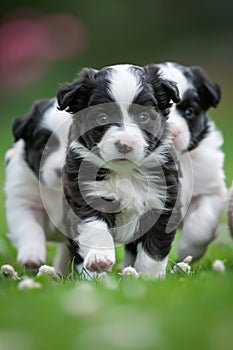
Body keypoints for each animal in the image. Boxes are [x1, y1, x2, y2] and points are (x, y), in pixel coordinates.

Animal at [57, 63, 181, 278]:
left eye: (143, 116)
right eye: (102, 117)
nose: (125, 144)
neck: (126, 172)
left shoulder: (164, 201)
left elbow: (155, 249)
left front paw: (151, 278)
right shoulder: (85, 195)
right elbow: (95, 227)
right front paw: (98, 260)